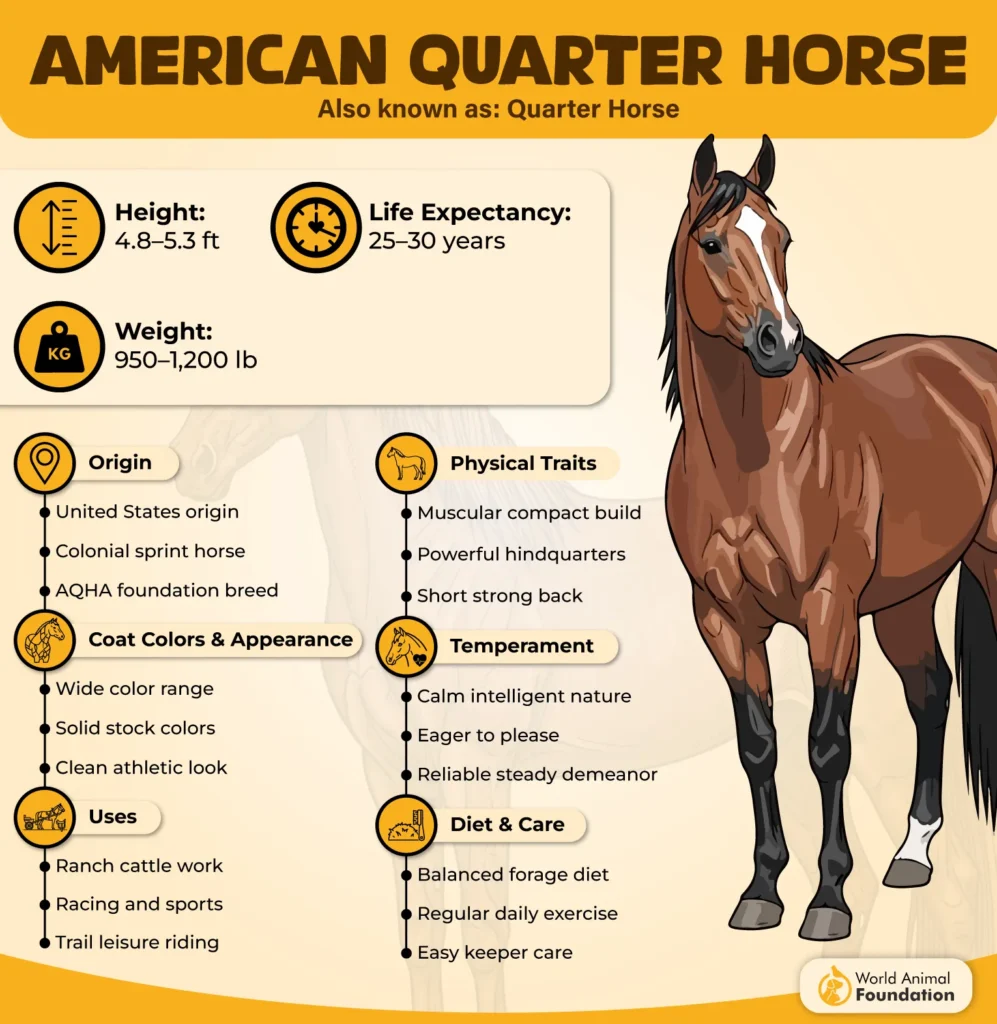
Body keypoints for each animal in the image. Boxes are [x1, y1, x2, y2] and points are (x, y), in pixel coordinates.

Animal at [663, 133, 997, 942]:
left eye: (782, 239)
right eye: (712, 242)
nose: (778, 342)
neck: (750, 460)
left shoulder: (829, 609)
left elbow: (826, 746)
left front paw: (828, 899)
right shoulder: (721, 619)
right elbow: (759, 747)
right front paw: (760, 889)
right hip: (908, 598)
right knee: (930, 691)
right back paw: (913, 852)